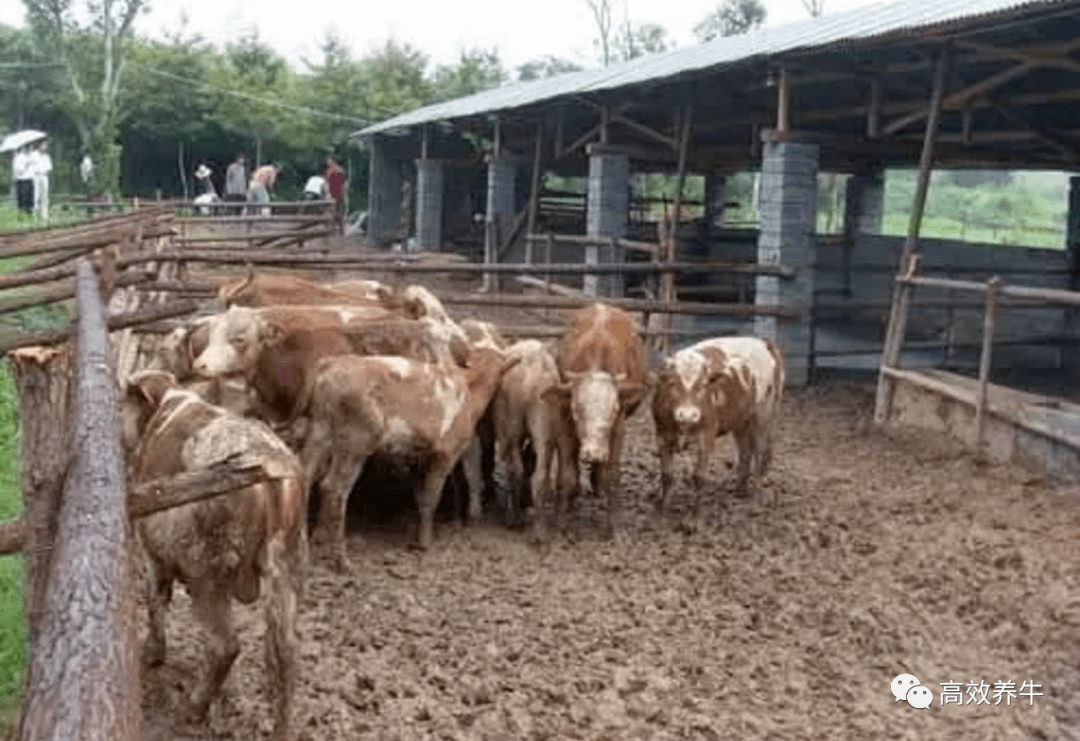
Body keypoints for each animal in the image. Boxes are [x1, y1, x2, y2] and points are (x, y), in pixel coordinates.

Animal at [123, 371, 308, 741]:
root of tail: (269, 471)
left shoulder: (152, 553)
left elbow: (154, 598)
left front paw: (152, 654)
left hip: (208, 572)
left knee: (225, 645)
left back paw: (192, 709)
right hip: (287, 565)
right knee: (287, 652)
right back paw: (280, 729)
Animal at [300, 347, 518, 570]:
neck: (469, 388)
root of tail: (332, 365)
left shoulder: (417, 456)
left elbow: (420, 496)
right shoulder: (446, 453)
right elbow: (431, 496)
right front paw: (424, 543)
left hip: (320, 432)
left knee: (305, 478)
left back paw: (306, 550)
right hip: (356, 441)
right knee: (334, 488)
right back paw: (342, 561)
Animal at [544, 302, 643, 540]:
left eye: (614, 409)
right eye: (575, 408)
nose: (593, 453)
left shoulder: (618, 429)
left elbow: (613, 476)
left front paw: (614, 526)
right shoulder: (564, 426)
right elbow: (567, 475)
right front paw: (561, 521)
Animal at [648, 334, 786, 514]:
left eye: (703, 385)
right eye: (672, 383)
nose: (688, 415)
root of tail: (764, 343)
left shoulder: (706, 437)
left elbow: (699, 477)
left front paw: (695, 513)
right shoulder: (662, 437)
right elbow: (666, 475)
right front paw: (663, 507)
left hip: (763, 416)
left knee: (760, 454)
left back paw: (756, 496)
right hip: (741, 420)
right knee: (745, 452)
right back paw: (740, 490)